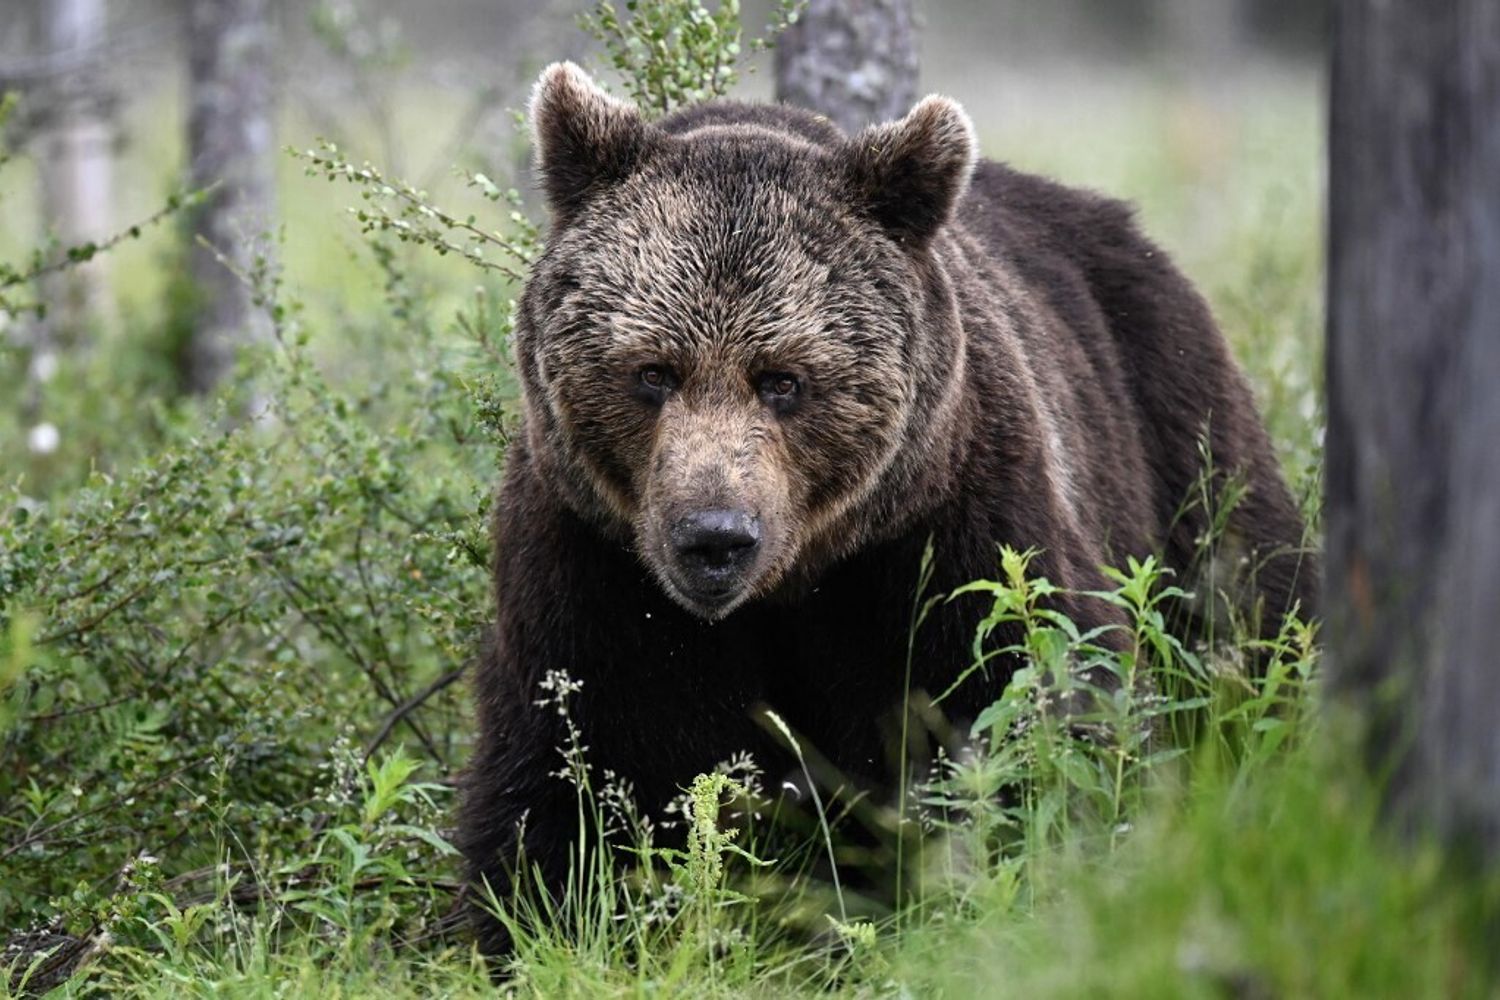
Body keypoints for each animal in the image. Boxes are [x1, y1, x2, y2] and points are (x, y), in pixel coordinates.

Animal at [457, 62, 1317, 955]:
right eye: (653, 371)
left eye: (784, 379)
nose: (714, 537)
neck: (792, 585)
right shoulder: (595, 567)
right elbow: (572, 769)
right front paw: (536, 921)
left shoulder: (945, 536)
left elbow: (1029, 704)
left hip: (1177, 428)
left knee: (1249, 610)